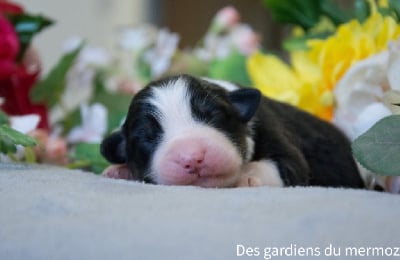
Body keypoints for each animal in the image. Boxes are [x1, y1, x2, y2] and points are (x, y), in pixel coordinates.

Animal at [101, 74, 366, 188]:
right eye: (147, 137)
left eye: (213, 116)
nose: (193, 158)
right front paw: (120, 171)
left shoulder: (278, 136)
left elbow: (286, 165)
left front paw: (244, 175)